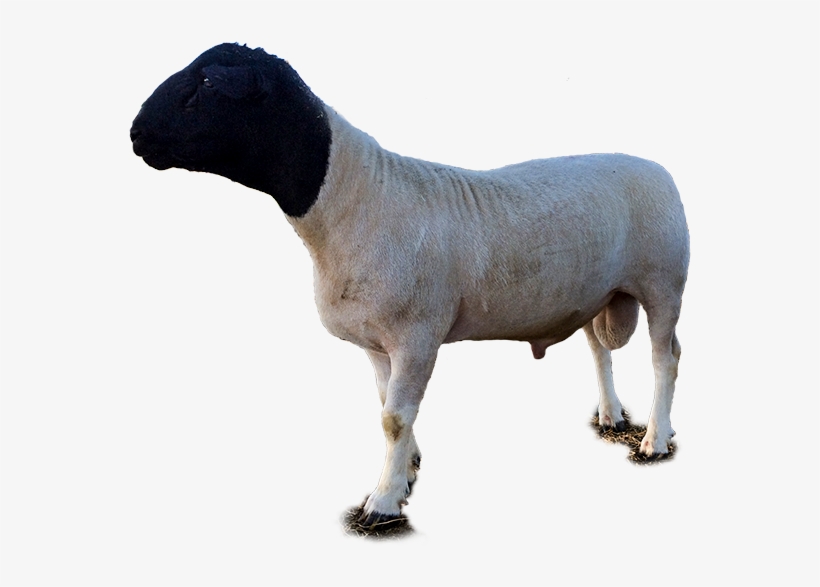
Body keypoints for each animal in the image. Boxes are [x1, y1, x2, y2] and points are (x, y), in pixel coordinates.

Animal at [130, 43, 689, 528]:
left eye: (208, 81)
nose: (136, 132)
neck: (355, 199)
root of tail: (654, 166)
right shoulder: (378, 343)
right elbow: (386, 406)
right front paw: (405, 473)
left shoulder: (417, 335)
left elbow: (394, 418)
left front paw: (381, 502)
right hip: (598, 294)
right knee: (599, 349)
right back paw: (612, 416)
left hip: (665, 283)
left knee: (665, 358)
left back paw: (655, 439)